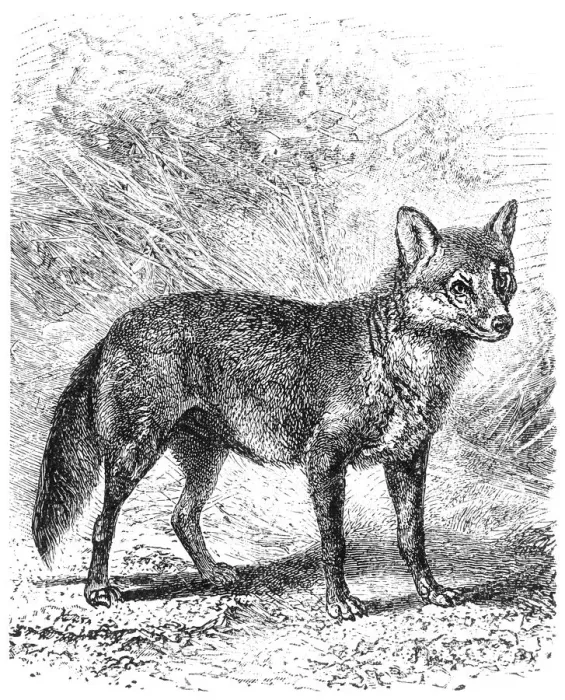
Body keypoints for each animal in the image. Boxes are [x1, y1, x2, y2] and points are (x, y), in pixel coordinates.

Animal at [32, 200, 518, 620]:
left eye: (503, 279)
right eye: (459, 287)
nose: (503, 323)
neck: (393, 357)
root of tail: (113, 329)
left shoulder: (408, 460)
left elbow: (412, 537)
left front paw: (430, 591)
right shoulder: (325, 463)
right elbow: (334, 543)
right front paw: (339, 602)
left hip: (206, 461)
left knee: (182, 517)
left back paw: (213, 574)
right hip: (135, 456)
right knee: (103, 522)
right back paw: (97, 589)